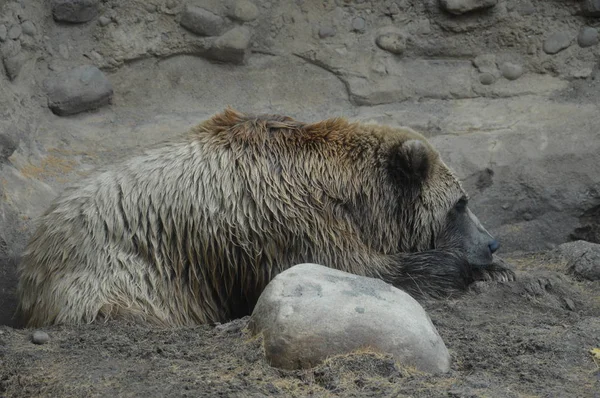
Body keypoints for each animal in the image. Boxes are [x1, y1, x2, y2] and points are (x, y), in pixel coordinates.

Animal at [15, 108, 510, 326]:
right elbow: (359, 270)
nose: (491, 242)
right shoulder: (282, 219)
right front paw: (472, 270)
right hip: (113, 275)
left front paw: (499, 270)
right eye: (460, 203)